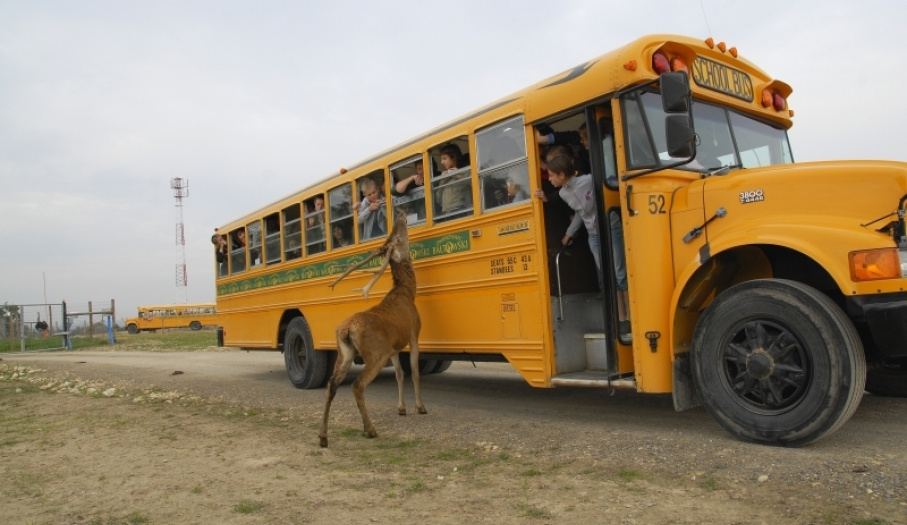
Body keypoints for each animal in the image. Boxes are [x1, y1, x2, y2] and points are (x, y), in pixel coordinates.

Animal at [320, 213, 428, 446]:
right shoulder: (414, 334)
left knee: (331, 385)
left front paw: (402, 408)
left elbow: (399, 374)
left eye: (393, 236)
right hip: (376, 354)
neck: (408, 291)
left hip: (345, 353)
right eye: (398, 238)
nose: (401, 216)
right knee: (357, 385)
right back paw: (370, 429)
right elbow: (414, 372)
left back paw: (323, 437)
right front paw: (420, 407)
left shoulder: (394, 347)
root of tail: (346, 330)